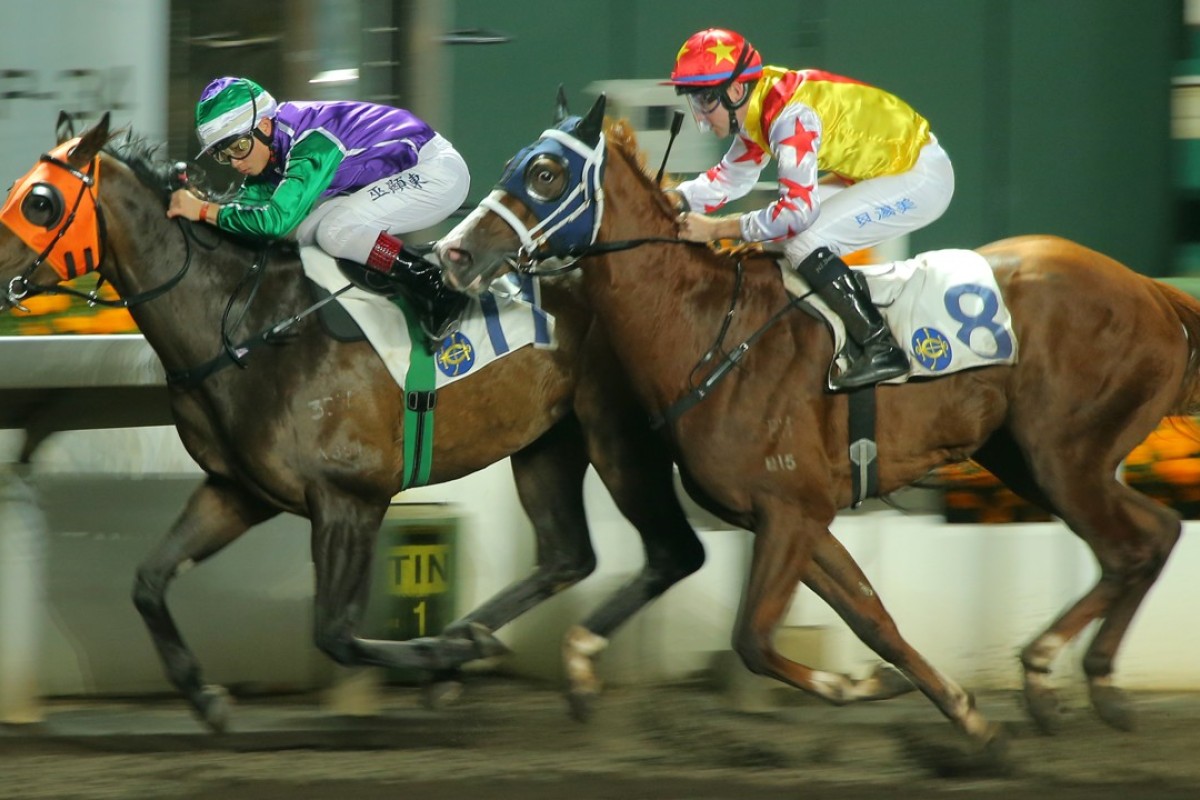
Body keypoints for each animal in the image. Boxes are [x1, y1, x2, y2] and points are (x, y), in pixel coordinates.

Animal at [0, 112, 700, 734]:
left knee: (674, 551)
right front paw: (205, 696)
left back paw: (546, 663)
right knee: (566, 555)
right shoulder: (238, 492)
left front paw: (444, 652)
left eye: (39, 201)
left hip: (616, 435)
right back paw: (474, 643)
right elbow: (148, 582)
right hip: (545, 441)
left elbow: (335, 633)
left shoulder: (351, 499)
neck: (249, 326)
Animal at [439, 90, 1200, 753]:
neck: (708, 330)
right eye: (514, 163)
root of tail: (1150, 290)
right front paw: (960, 715)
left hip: (1064, 456)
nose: (454, 253)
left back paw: (1048, 672)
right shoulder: (795, 516)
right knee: (1157, 532)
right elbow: (874, 620)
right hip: (1029, 460)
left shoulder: (790, 509)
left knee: (1129, 548)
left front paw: (857, 688)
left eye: (545, 173)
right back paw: (1087, 683)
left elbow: (753, 640)